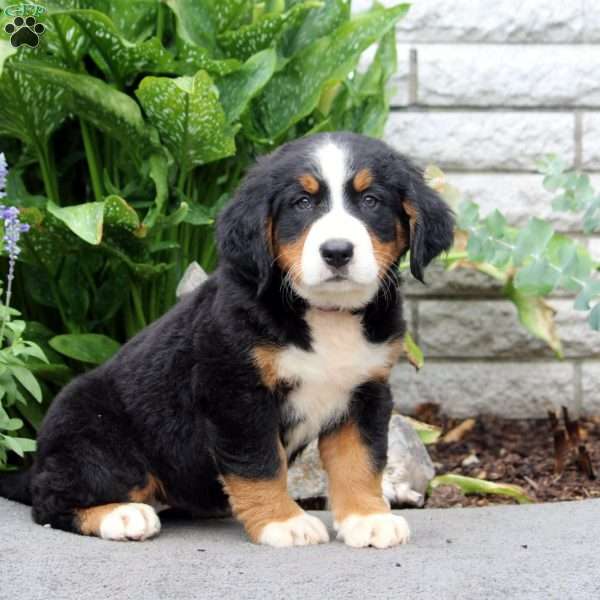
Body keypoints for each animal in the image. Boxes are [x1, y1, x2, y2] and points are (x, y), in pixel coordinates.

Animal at [0, 131, 450, 548]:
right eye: (302, 204)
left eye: (371, 201)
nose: (337, 251)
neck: (325, 313)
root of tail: (41, 457)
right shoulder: (236, 391)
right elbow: (261, 463)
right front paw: (283, 522)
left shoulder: (365, 391)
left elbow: (361, 460)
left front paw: (367, 519)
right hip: (99, 438)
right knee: (50, 501)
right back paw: (122, 516)